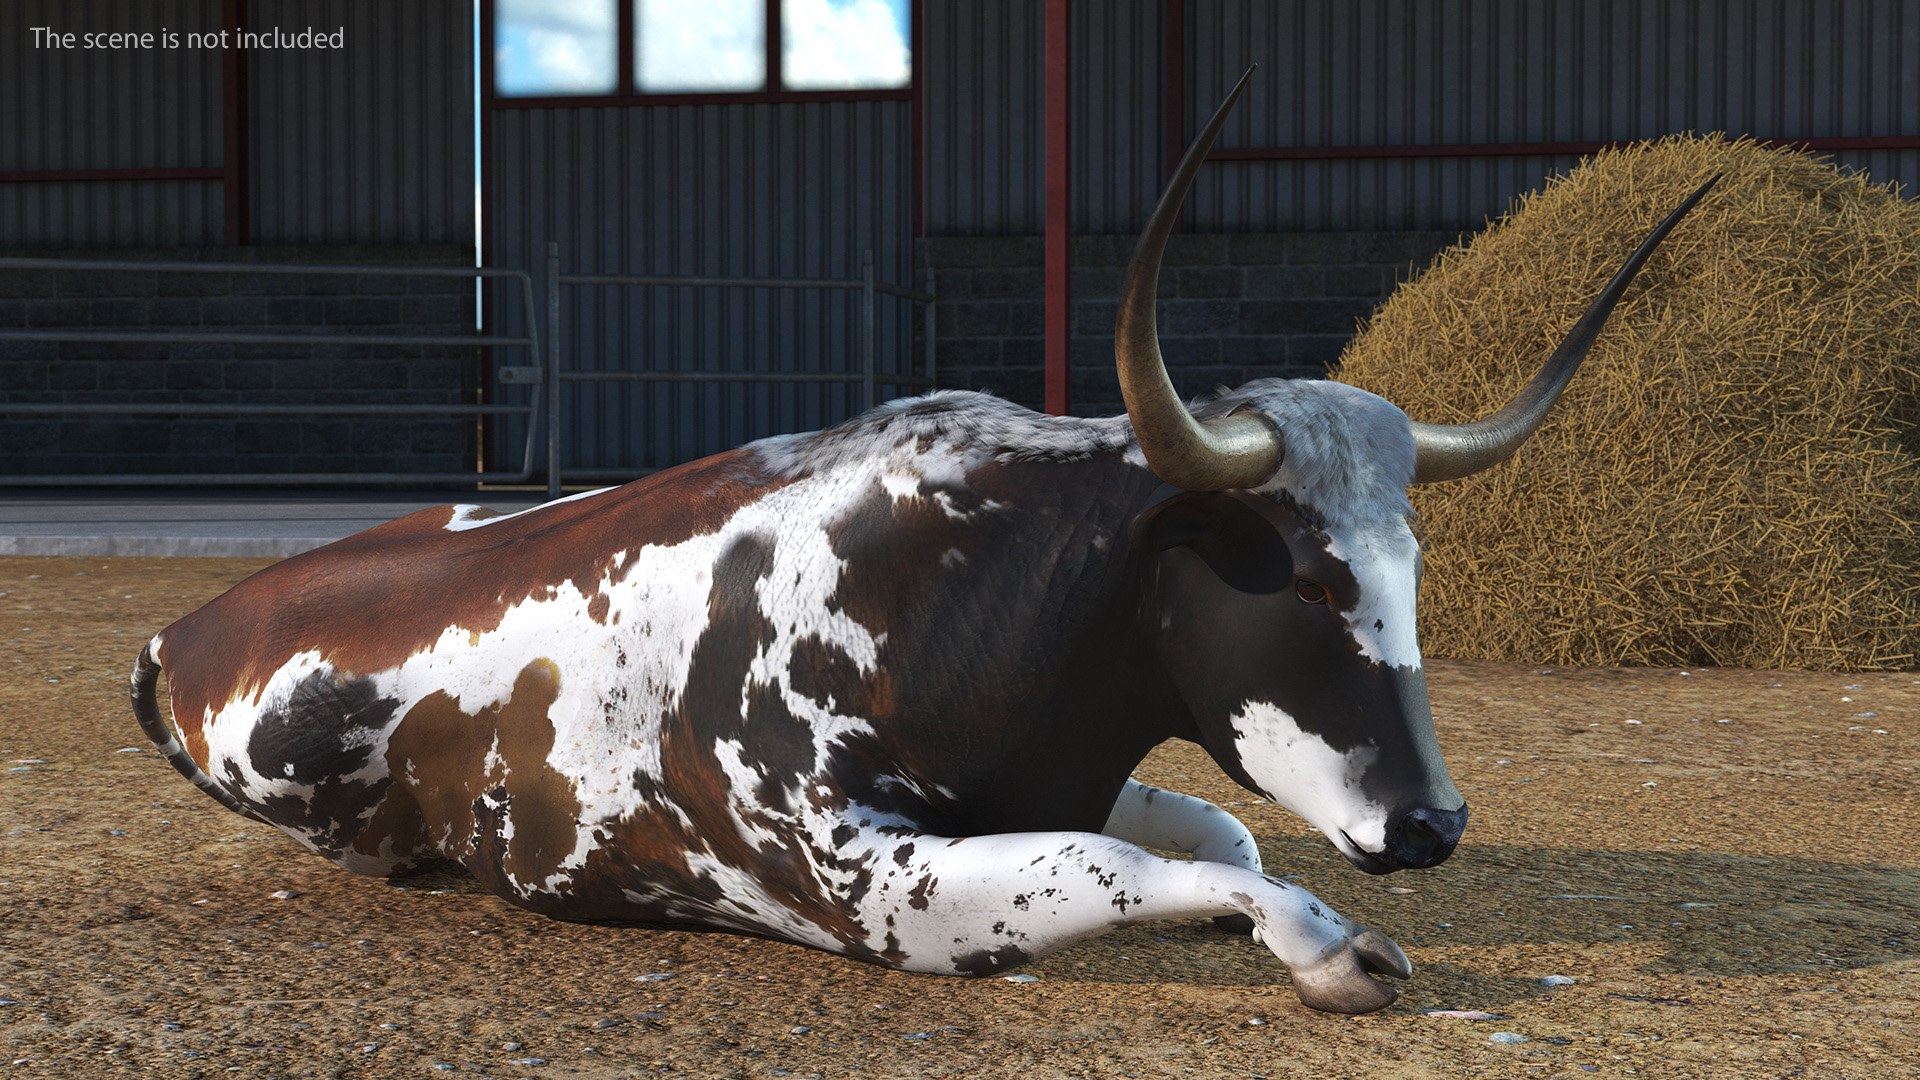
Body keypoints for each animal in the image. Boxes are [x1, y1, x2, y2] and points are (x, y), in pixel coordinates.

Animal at [132, 74, 1712, 1014]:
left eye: (1417, 570)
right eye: (1308, 581)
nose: (1433, 827)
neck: (997, 601)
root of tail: (188, 627)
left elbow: (1202, 824)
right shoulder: (860, 883)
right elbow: (1112, 862)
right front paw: (1324, 942)